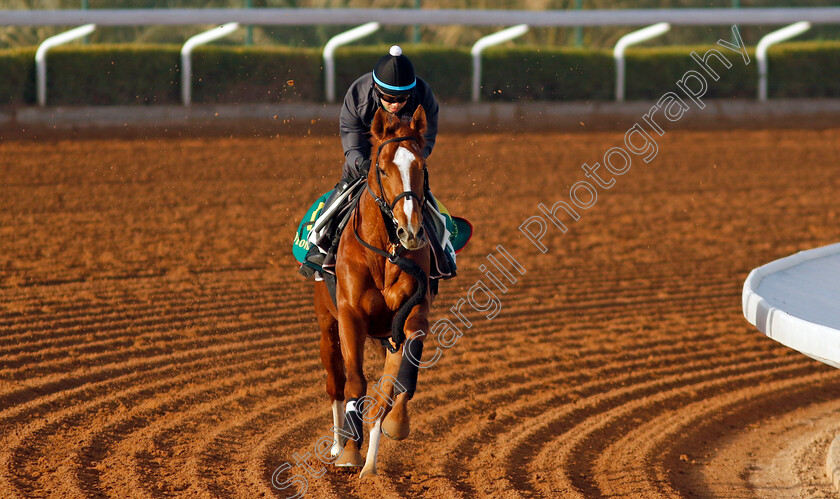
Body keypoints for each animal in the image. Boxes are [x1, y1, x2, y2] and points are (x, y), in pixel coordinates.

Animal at [316, 106, 434, 480]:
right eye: (382, 168)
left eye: (420, 166)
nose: (411, 230)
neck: (384, 252)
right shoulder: (350, 316)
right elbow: (355, 382)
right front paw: (350, 452)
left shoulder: (413, 313)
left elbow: (396, 385)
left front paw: (396, 423)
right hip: (327, 324)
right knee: (335, 381)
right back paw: (339, 444)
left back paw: (370, 462)